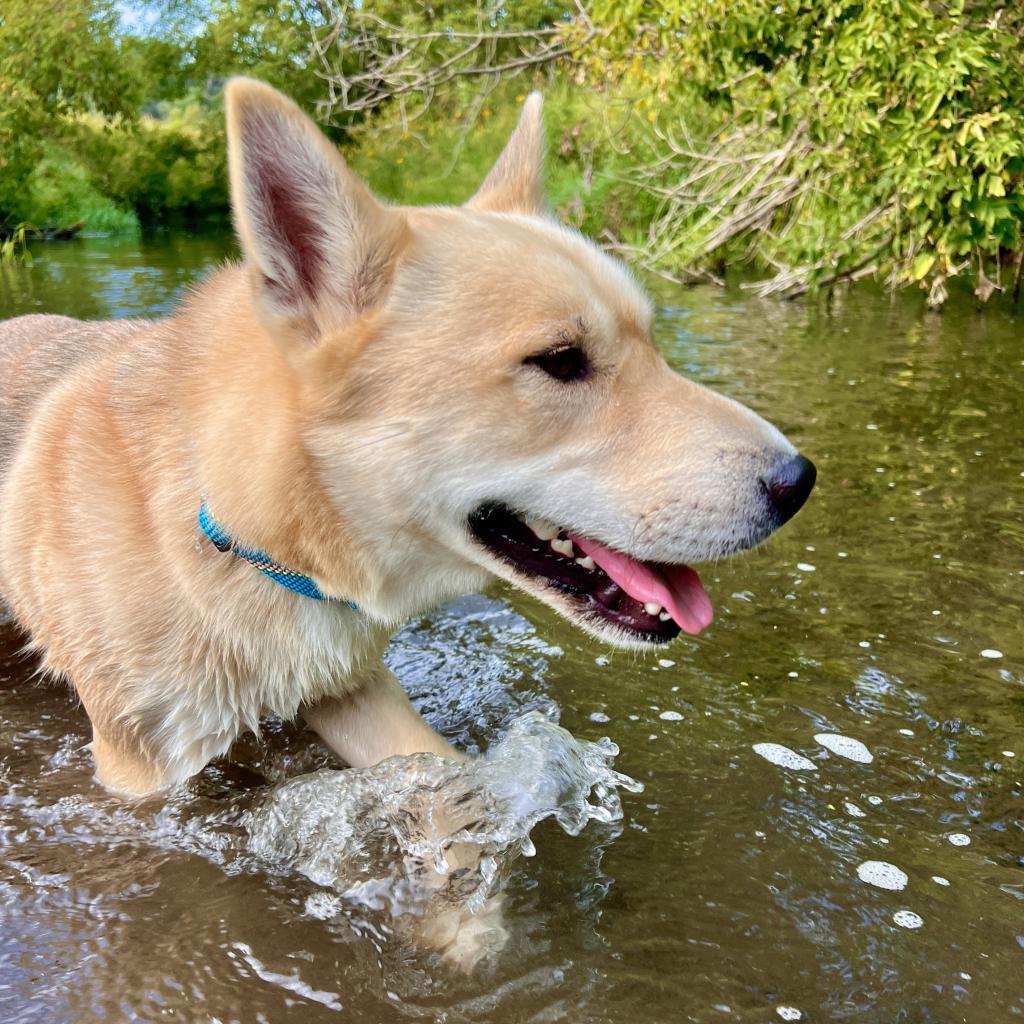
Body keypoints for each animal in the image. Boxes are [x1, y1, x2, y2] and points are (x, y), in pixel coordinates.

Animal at [0, 75, 815, 954]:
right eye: (561, 361)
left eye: (655, 345)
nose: (799, 482)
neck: (228, 519)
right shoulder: (142, 768)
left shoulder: (347, 683)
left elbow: (443, 775)